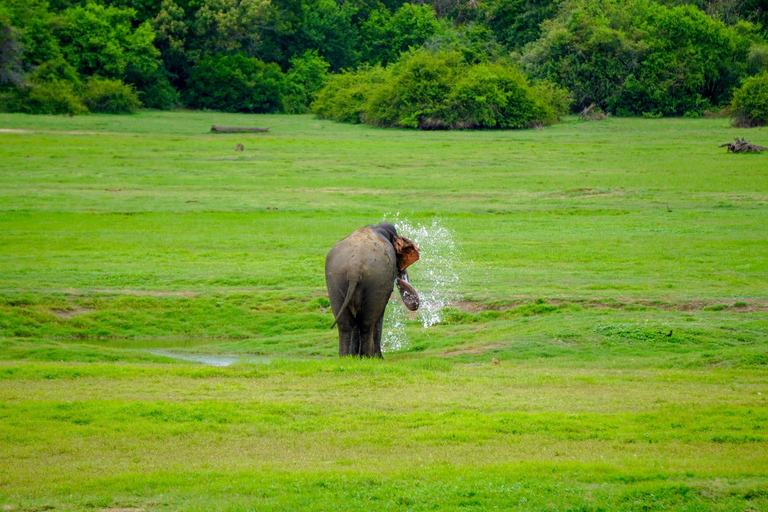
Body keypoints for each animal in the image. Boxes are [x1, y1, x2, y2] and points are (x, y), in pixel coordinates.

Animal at [325, 222, 420, 358]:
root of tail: (354, 270)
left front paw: (355, 358)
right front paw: (375, 358)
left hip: (335, 280)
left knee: (344, 323)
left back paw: (346, 357)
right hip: (376, 281)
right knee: (368, 322)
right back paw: (369, 357)